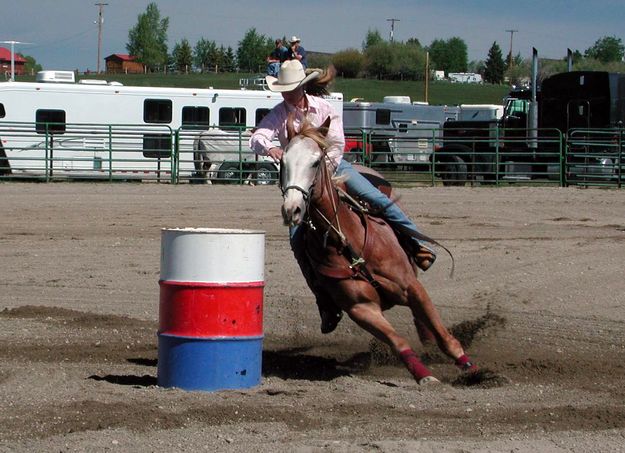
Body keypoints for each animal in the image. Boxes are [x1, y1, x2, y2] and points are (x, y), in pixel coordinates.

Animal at [280, 115, 476, 382]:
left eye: (316, 161)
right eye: (282, 162)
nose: (292, 210)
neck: (347, 242)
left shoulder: (411, 287)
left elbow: (443, 335)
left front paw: (470, 368)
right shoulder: (361, 309)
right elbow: (398, 342)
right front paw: (424, 375)